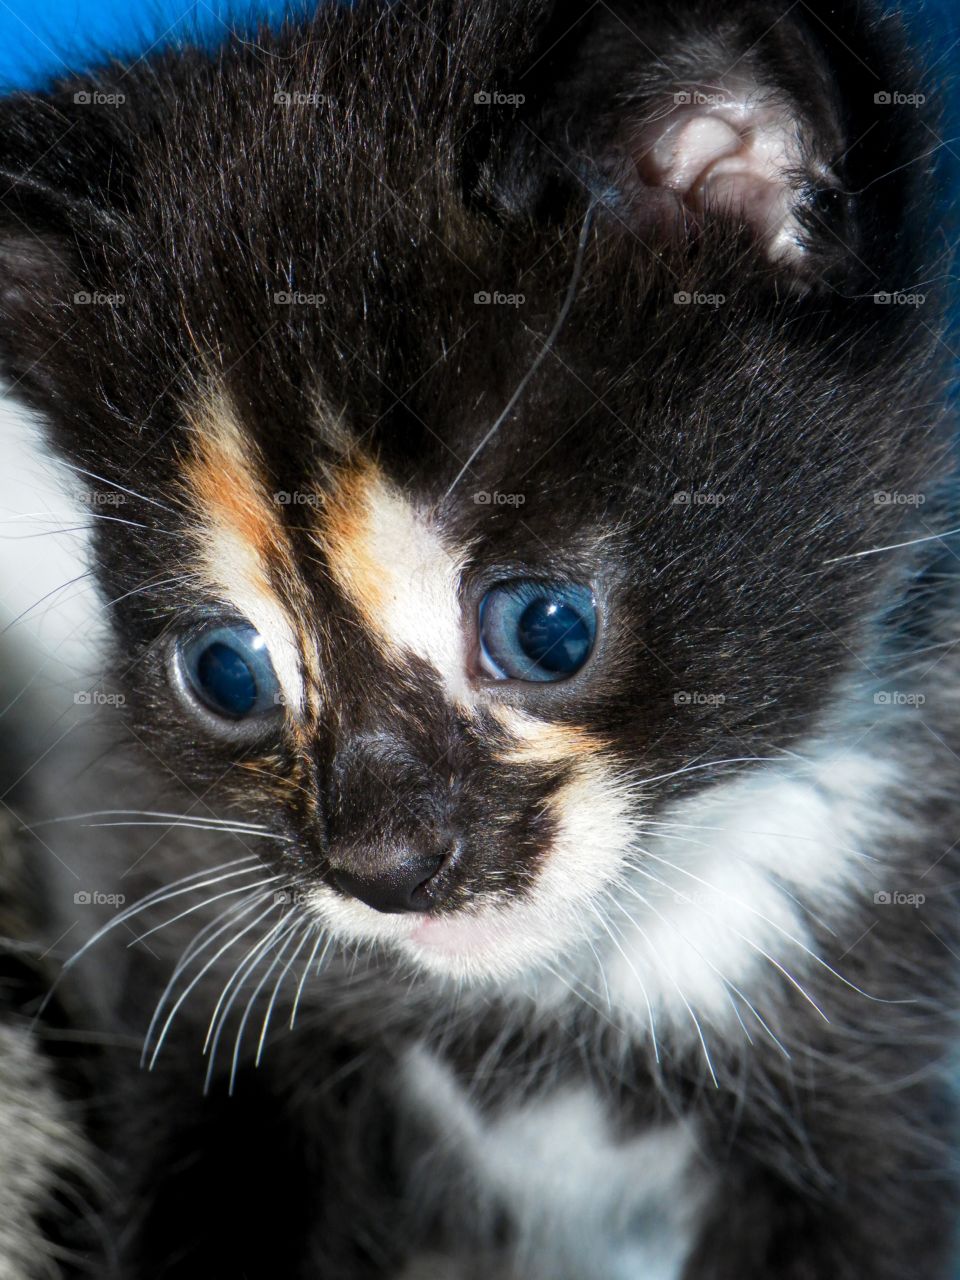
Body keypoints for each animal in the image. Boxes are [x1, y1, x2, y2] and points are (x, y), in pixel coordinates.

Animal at [1, 0, 960, 1274]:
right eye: (223, 670)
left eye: (547, 628)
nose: (384, 866)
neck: (558, 1005)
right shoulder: (199, 960)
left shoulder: (877, 1069)